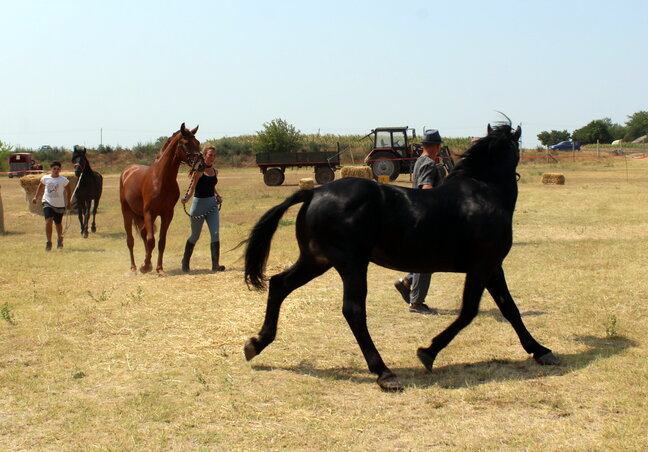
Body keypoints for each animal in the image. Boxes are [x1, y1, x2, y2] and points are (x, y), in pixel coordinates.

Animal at [119, 123, 204, 276]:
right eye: (186, 143)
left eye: (198, 142)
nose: (201, 165)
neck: (161, 179)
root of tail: (128, 171)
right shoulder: (149, 212)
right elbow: (151, 240)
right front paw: (145, 267)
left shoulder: (167, 214)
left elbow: (161, 242)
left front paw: (158, 268)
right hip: (127, 212)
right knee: (131, 240)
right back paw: (134, 268)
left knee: (143, 232)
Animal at [243, 122, 556, 390]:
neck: (483, 192)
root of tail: (314, 193)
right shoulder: (483, 266)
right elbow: (470, 312)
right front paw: (428, 351)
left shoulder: (492, 268)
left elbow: (510, 309)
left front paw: (540, 350)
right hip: (351, 264)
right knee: (353, 310)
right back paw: (384, 372)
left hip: (316, 261)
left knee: (279, 284)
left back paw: (256, 343)